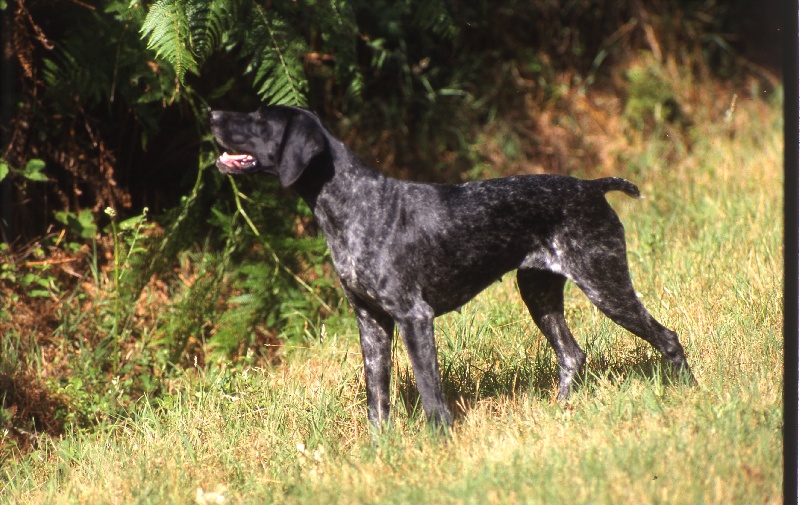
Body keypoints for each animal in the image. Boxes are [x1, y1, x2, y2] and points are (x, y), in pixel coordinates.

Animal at [211, 104, 692, 428]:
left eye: (261, 120)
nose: (213, 114)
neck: (352, 203)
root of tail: (593, 187)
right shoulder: (371, 323)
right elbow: (377, 400)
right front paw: (379, 451)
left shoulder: (414, 317)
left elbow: (430, 394)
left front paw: (438, 442)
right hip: (539, 293)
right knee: (572, 354)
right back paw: (561, 413)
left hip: (605, 284)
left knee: (668, 338)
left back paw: (688, 391)